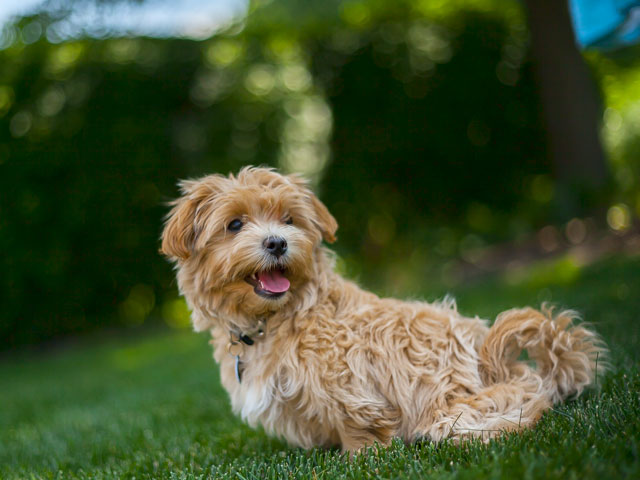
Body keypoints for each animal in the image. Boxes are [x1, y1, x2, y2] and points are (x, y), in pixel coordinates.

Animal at [160, 167, 604, 452]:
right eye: (234, 224)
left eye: (289, 220)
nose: (277, 242)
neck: (279, 317)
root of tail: (492, 359)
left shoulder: (346, 381)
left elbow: (358, 422)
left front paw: (359, 455)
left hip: (455, 409)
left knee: (525, 406)